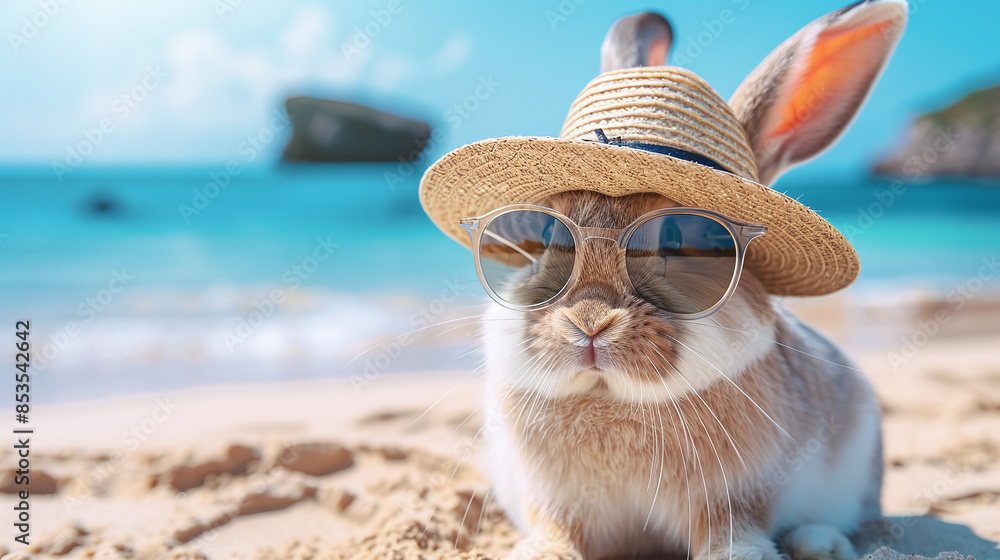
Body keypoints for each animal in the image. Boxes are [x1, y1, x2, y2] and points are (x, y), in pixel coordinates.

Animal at [478, 2, 908, 559]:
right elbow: (556, 530)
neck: (612, 397)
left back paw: (821, 542)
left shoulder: (736, 497)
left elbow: (731, 532)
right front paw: (542, 551)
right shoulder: (555, 501)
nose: (589, 324)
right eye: (548, 232)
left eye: (683, 235)